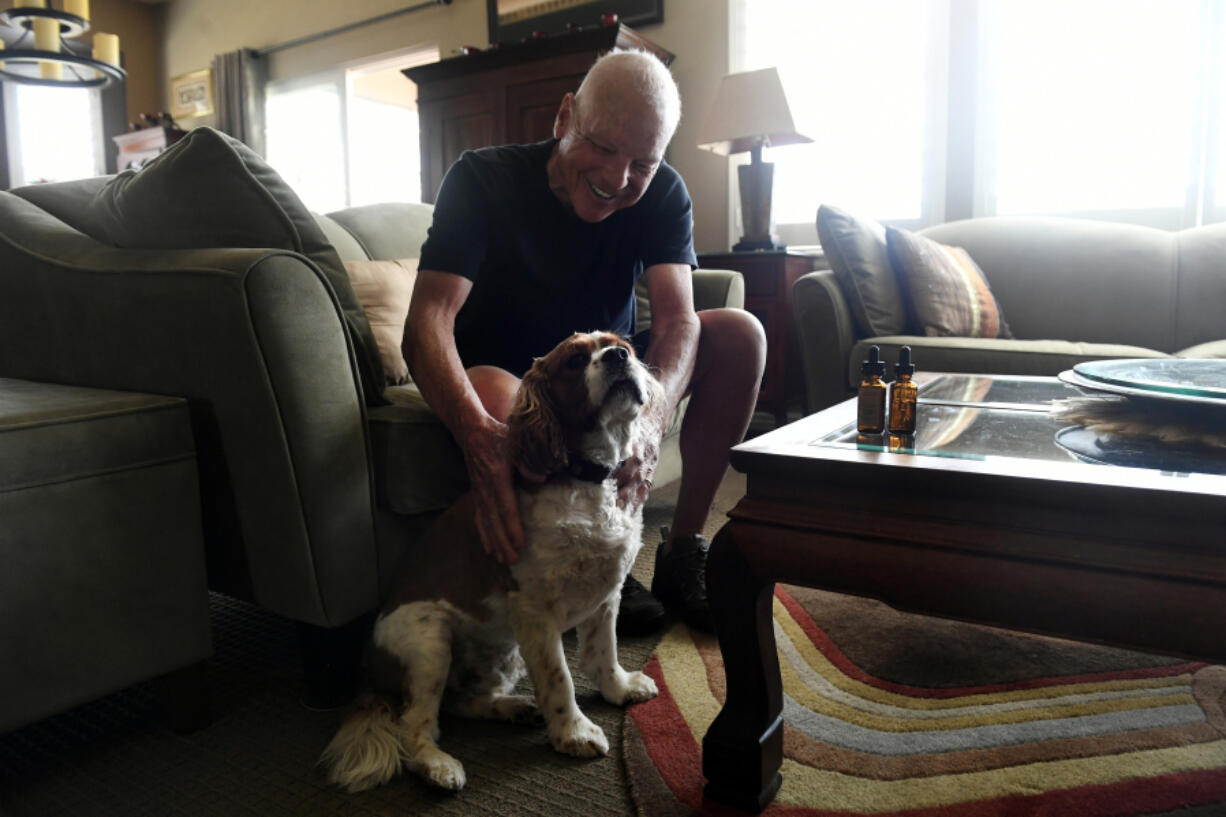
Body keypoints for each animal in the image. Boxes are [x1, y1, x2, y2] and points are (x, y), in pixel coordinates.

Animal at [318, 328, 662, 790]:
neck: (583, 480)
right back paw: (437, 765)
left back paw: (512, 707)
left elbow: (603, 652)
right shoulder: (536, 613)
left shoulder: (606, 593)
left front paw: (619, 689)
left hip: (503, 656)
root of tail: (369, 672)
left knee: (460, 701)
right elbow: (560, 679)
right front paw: (574, 732)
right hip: (430, 642)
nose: (618, 357)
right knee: (416, 724)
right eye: (574, 361)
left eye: (622, 345)